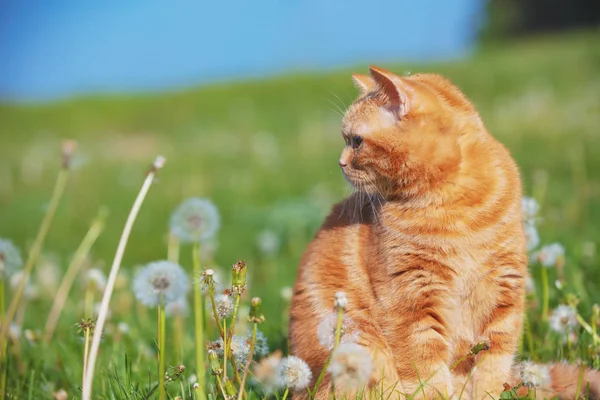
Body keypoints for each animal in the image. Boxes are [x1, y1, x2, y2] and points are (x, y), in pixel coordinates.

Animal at [288, 67, 596, 398]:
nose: (340, 162)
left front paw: (487, 392)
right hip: (357, 339)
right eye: (347, 140)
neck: (453, 204)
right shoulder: (411, 299)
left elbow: (492, 365)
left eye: (356, 141)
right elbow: (426, 370)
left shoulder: (504, 294)